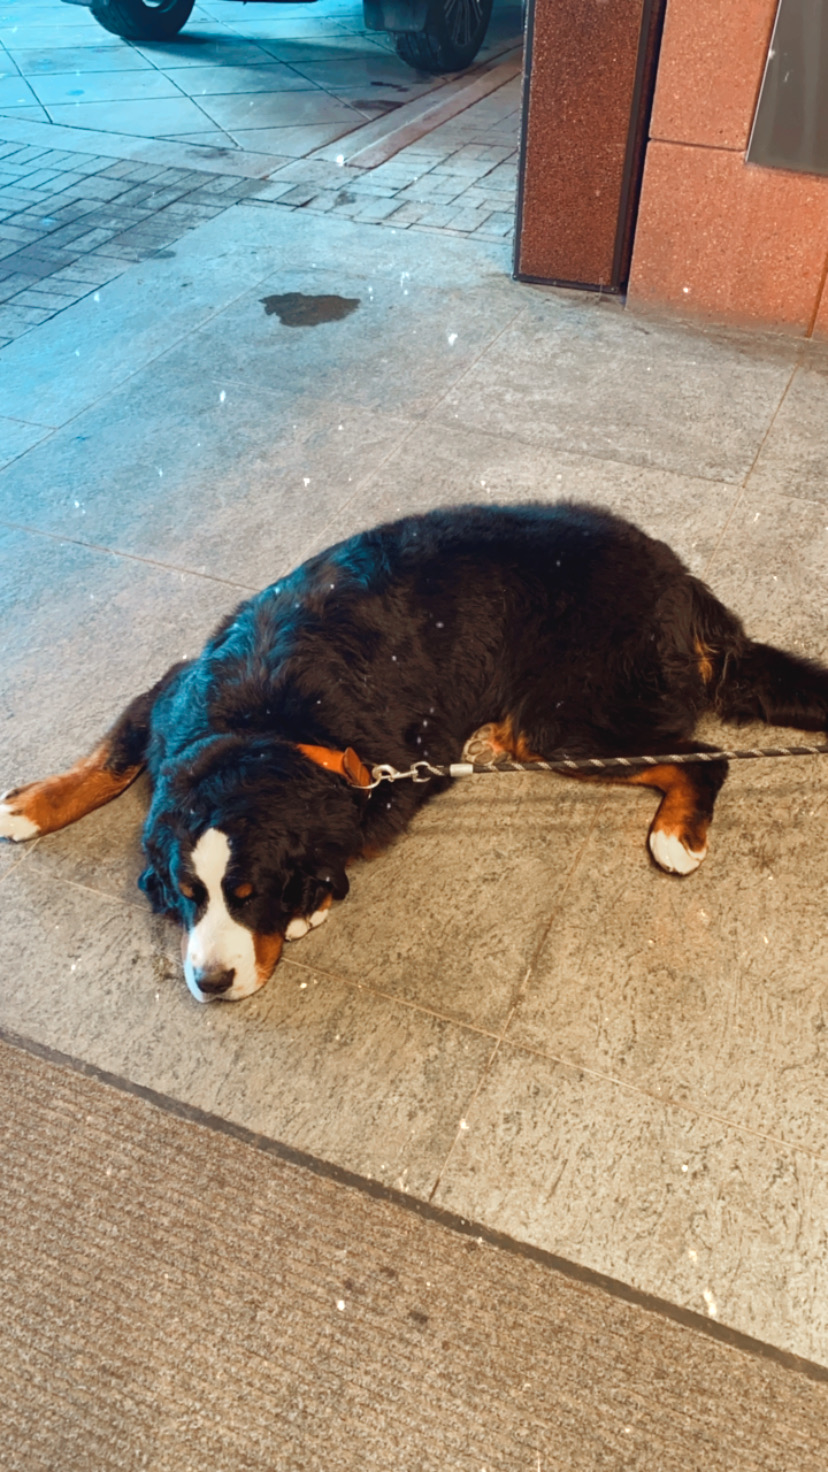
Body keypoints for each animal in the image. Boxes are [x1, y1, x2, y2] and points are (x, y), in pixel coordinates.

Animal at [4, 503, 825, 1000]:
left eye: (251, 894)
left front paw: (309, 906)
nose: (210, 980)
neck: (264, 724)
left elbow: (350, 844)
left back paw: (677, 836)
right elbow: (109, 759)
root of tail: (686, 586)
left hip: (574, 715)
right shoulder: (175, 690)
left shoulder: (397, 766)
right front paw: (35, 805)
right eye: (185, 893)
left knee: (704, 755)